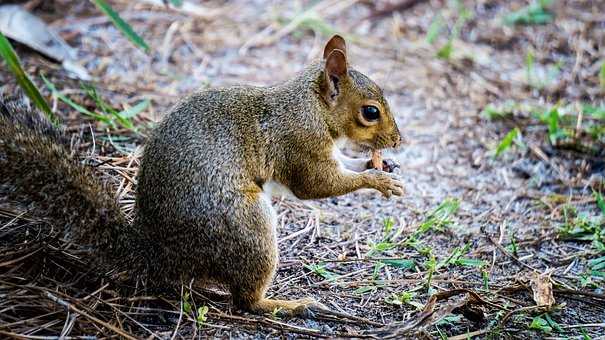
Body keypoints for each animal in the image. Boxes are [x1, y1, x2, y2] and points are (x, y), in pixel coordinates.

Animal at [3, 34, 406, 316]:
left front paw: (378, 166)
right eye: (370, 112)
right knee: (245, 300)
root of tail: (159, 256)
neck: (310, 107)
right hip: (248, 227)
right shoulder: (299, 144)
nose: (399, 141)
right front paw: (378, 180)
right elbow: (316, 185)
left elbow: (343, 167)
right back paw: (288, 305)